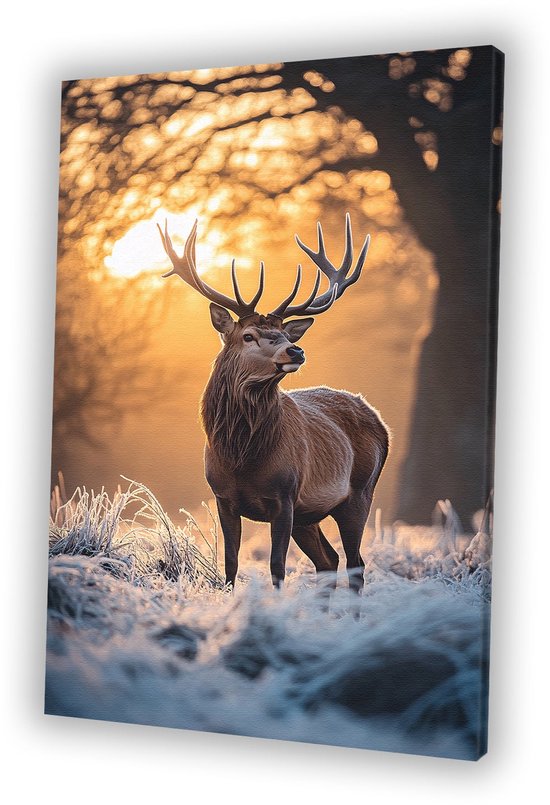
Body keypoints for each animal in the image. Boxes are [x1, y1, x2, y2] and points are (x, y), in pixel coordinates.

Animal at [158, 214, 389, 592]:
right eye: (248, 336)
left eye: (282, 334)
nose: (295, 350)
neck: (242, 457)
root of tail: (380, 422)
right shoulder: (223, 498)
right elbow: (231, 564)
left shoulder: (285, 496)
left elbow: (277, 566)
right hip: (309, 515)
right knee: (329, 560)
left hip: (359, 492)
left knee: (356, 564)